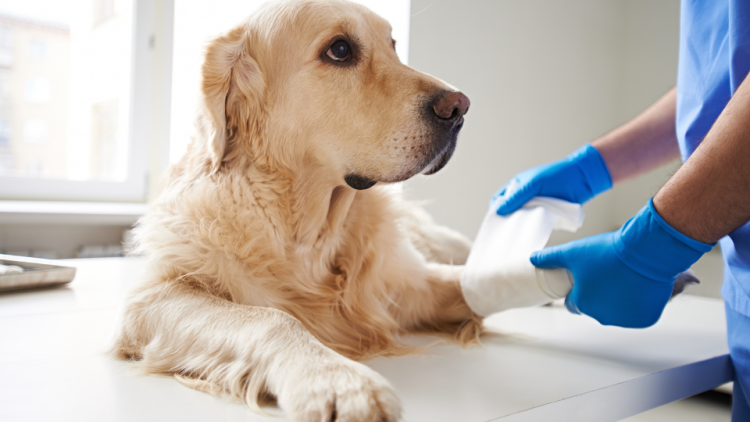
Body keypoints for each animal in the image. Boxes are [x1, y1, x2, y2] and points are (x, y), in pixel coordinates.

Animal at [113, 1, 482, 420]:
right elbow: (272, 318)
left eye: (393, 45)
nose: (459, 107)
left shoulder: (407, 285)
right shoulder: (153, 297)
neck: (308, 231)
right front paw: (338, 381)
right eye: (340, 50)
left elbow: (474, 283)